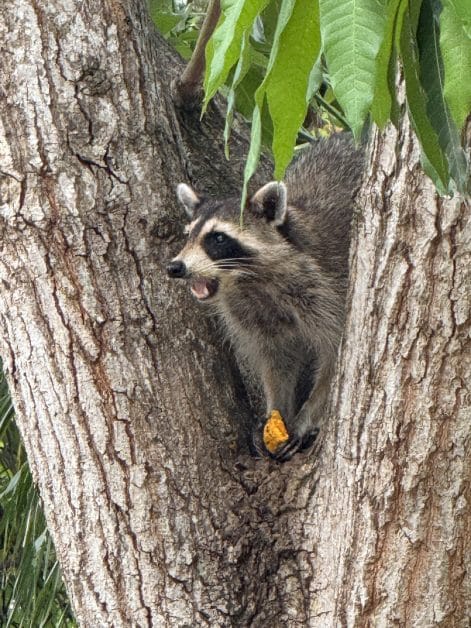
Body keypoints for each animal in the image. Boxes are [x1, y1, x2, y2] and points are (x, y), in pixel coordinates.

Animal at [167, 136, 366, 462]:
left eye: (217, 238)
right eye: (188, 235)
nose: (175, 267)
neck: (250, 281)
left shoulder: (328, 289)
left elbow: (333, 356)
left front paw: (307, 415)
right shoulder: (249, 313)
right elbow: (276, 359)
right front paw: (277, 409)